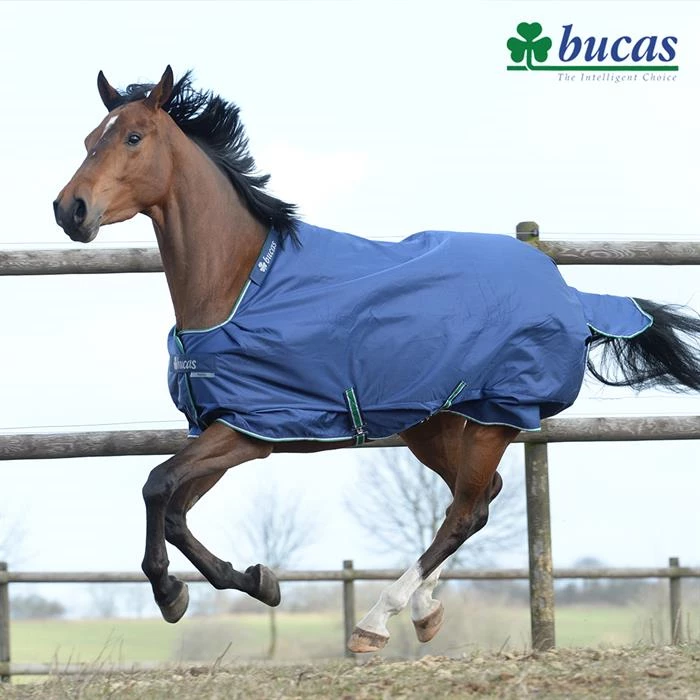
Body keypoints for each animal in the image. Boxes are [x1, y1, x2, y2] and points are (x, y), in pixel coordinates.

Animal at [54, 67, 700, 653]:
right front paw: (256, 580)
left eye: (133, 137)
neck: (238, 284)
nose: (70, 210)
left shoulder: (251, 431)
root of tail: (569, 292)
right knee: (477, 500)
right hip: (434, 424)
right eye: (88, 139)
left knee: (465, 510)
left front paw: (174, 594)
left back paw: (376, 620)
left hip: (494, 415)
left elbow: (156, 487)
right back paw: (424, 611)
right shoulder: (222, 425)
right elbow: (174, 510)